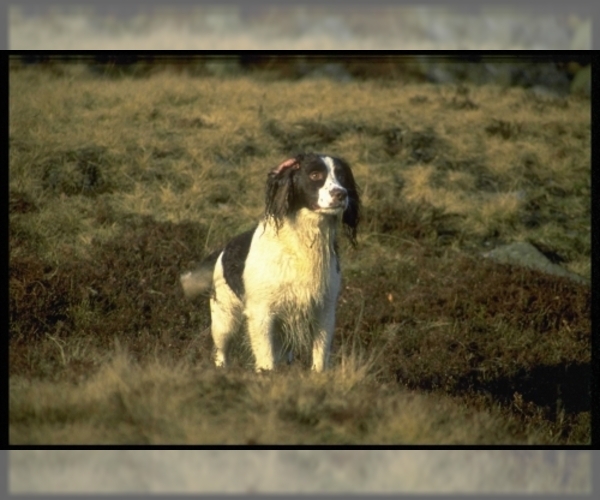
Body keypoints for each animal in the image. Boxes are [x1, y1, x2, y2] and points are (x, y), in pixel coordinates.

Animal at [182, 152, 360, 372]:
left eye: (342, 176)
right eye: (315, 174)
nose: (341, 194)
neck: (301, 243)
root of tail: (224, 248)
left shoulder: (324, 310)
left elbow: (319, 357)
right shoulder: (261, 313)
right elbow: (266, 360)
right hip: (224, 318)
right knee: (222, 351)